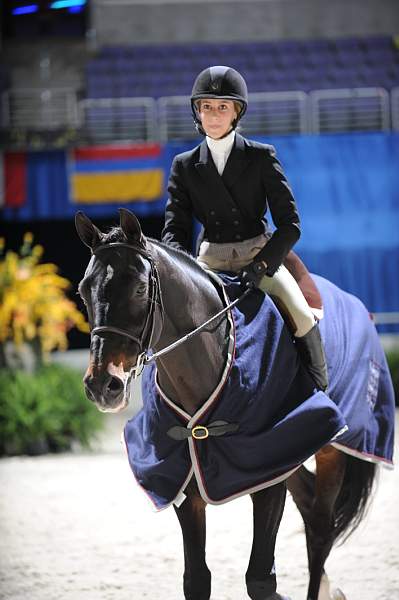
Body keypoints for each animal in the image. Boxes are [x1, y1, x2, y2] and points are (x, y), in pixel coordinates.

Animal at [76, 207, 396, 600]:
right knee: (310, 510)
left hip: (329, 447)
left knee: (321, 527)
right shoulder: (188, 480)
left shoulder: (267, 475)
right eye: (84, 291)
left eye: (138, 288)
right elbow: (196, 580)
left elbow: (260, 580)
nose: (102, 385)